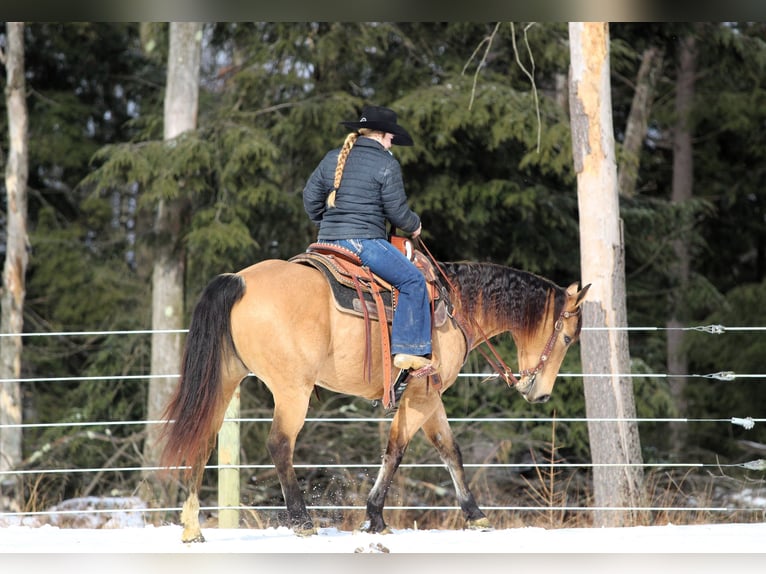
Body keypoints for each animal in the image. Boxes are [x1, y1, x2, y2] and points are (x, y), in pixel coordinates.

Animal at [159, 242, 592, 544]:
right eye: (568, 337)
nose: (539, 394)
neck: (455, 306)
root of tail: (240, 280)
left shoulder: (431, 397)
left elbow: (449, 450)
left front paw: (475, 514)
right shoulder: (421, 394)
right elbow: (397, 449)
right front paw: (376, 516)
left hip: (225, 380)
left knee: (201, 441)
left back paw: (192, 527)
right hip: (292, 390)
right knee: (280, 444)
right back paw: (302, 520)